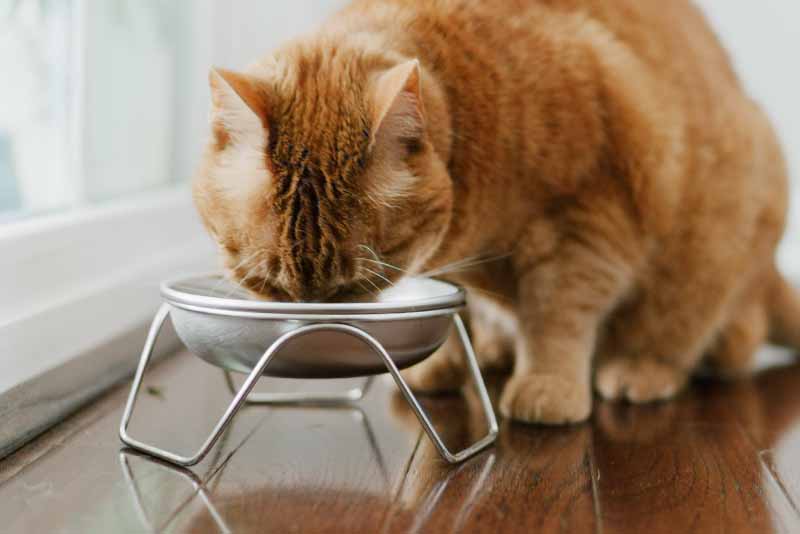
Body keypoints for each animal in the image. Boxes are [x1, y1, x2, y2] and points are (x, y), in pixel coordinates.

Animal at [194, 1, 800, 428]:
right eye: (271, 287)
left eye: (350, 290)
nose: (313, 322)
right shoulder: (447, 266)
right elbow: (454, 314)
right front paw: (443, 365)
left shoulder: (586, 217)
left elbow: (558, 314)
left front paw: (549, 387)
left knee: (705, 340)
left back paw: (642, 369)